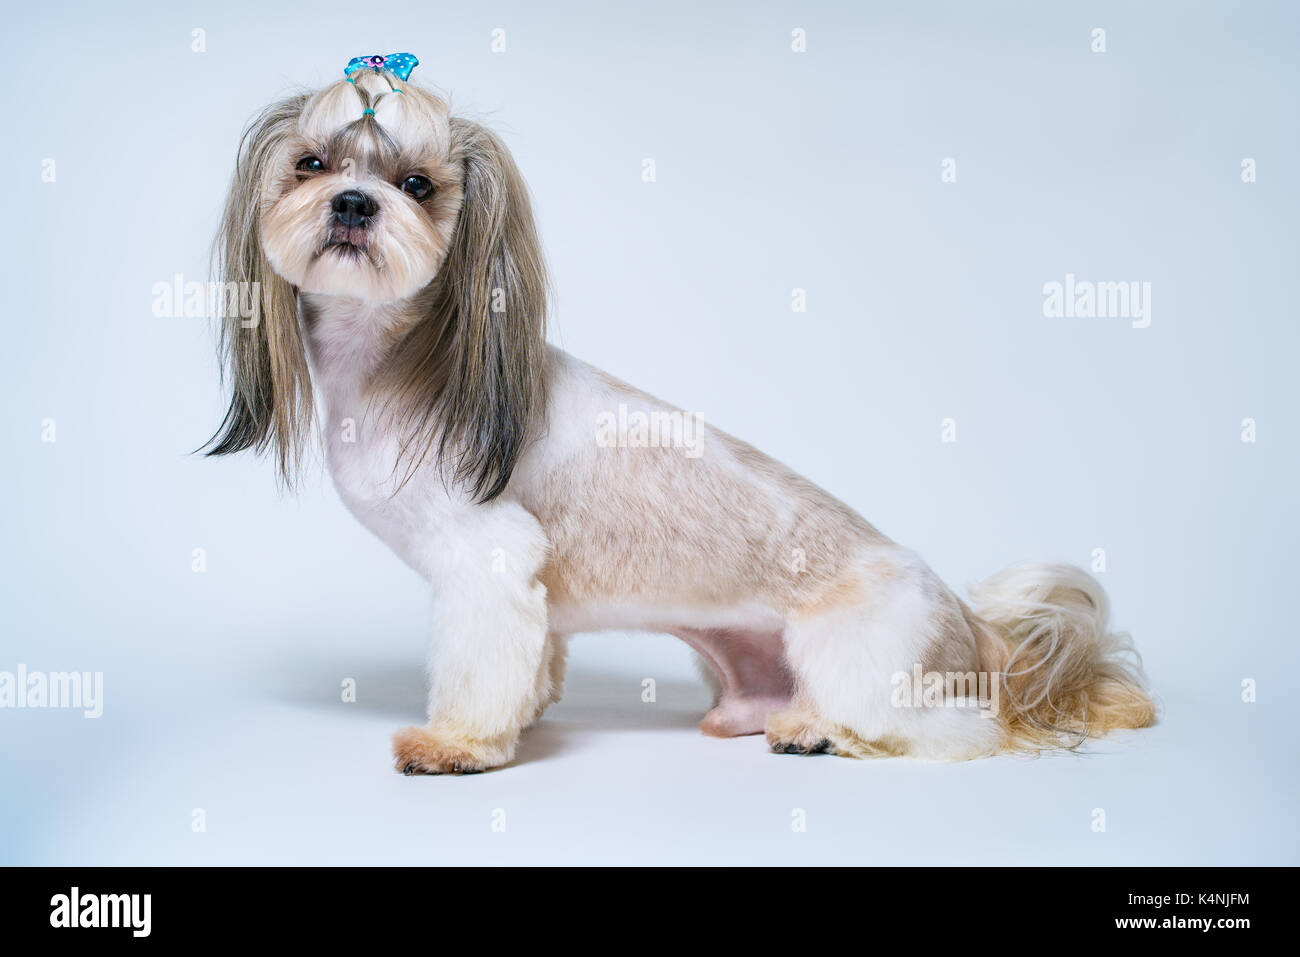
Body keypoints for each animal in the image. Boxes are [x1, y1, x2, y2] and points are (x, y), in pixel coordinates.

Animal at [205, 55, 1159, 774]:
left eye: (416, 183)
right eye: (311, 164)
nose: (354, 203)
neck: (403, 362)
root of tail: (974, 629)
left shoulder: (485, 557)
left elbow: (480, 662)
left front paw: (456, 743)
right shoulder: (526, 591)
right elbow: (533, 654)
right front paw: (528, 712)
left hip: (866, 656)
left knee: (950, 730)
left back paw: (822, 730)